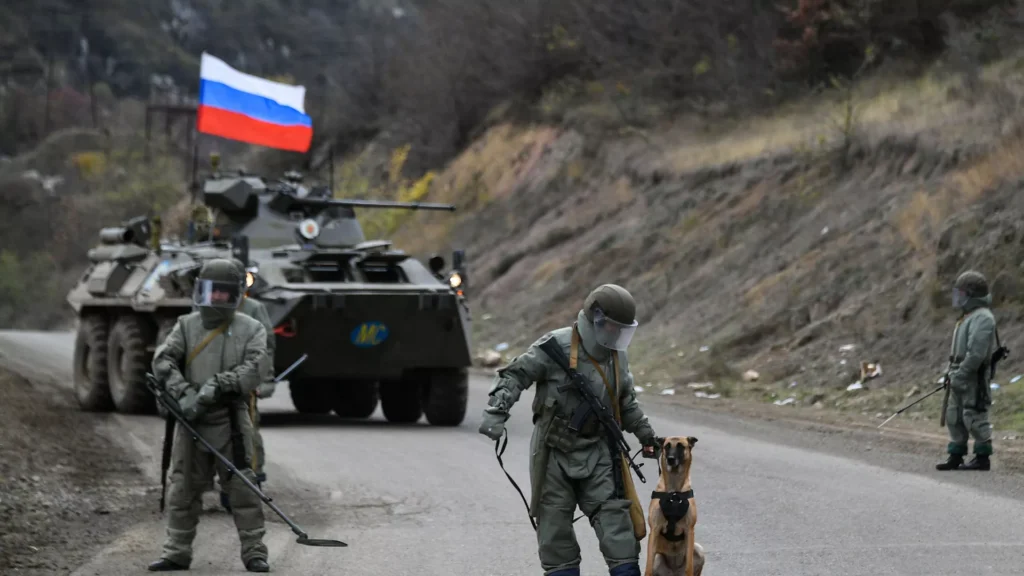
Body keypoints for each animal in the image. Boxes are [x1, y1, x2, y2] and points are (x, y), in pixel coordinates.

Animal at [644, 436, 704, 576]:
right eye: (667, 446)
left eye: (681, 446)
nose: (670, 459)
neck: (674, 491)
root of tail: (673, 572)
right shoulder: (654, 529)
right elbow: (648, 568)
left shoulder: (689, 530)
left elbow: (689, 567)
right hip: (658, 557)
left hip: (699, 549)